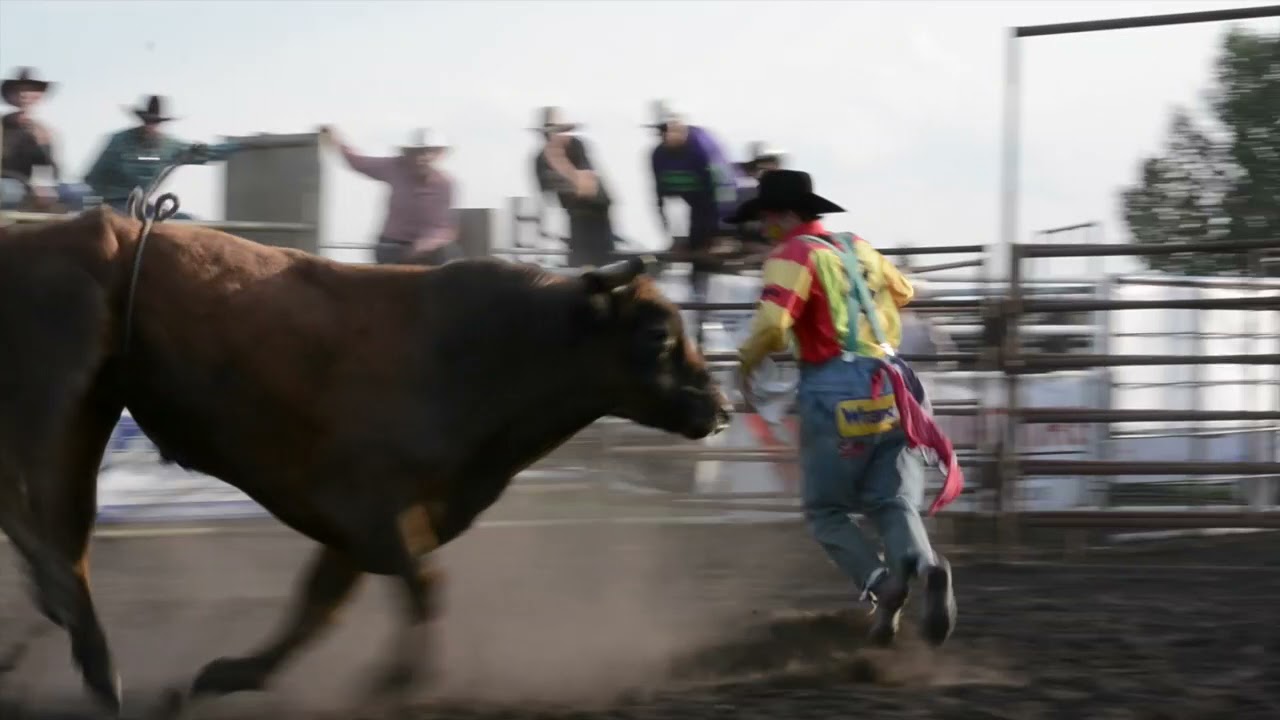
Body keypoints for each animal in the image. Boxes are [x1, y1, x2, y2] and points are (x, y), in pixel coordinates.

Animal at [0, 206, 732, 716]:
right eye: (658, 334)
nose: (721, 407)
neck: (486, 350)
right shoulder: (368, 507)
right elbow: (422, 588)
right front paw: (394, 679)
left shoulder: (357, 527)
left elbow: (318, 607)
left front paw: (223, 675)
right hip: (51, 397)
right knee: (32, 517)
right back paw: (68, 626)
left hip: (90, 410)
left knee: (65, 534)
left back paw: (76, 655)